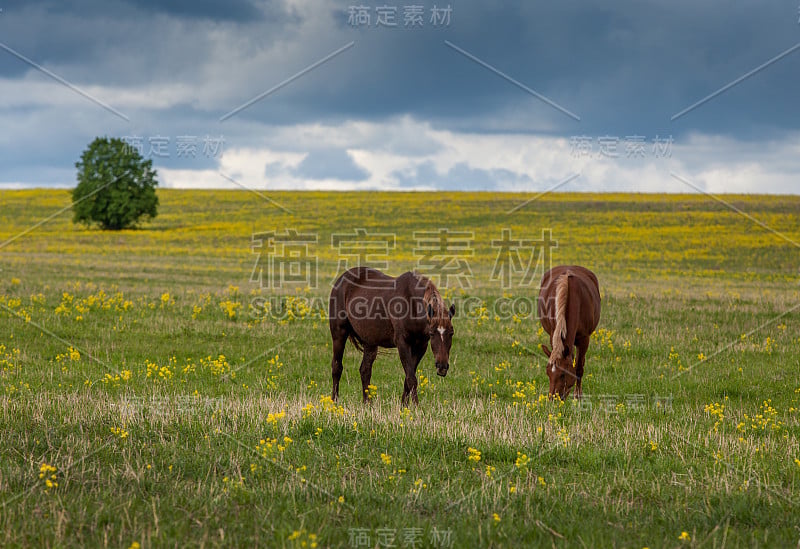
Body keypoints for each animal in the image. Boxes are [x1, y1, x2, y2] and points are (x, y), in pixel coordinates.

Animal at [326, 268, 454, 404]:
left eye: (451, 333)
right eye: (432, 333)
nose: (442, 366)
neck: (411, 303)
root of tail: (341, 279)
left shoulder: (421, 346)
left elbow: (408, 378)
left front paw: (404, 405)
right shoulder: (402, 344)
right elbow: (411, 379)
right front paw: (416, 406)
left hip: (370, 342)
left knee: (365, 370)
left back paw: (368, 404)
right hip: (339, 335)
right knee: (337, 367)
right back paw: (334, 401)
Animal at [536, 266, 600, 398]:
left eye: (563, 374)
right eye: (547, 372)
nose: (553, 398)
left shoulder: (584, 339)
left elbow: (579, 368)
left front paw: (577, 396)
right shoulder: (553, 335)